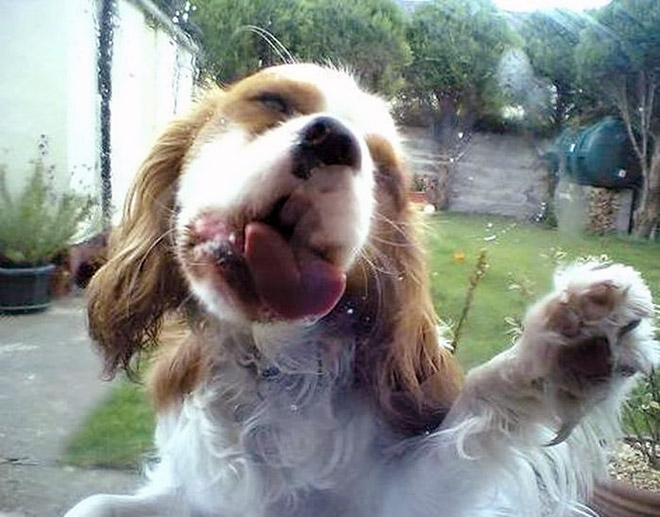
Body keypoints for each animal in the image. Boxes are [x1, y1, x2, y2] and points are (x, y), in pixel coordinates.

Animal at [64, 64, 656, 516]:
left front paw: (566, 345)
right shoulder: (195, 490)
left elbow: (485, 399)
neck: (268, 364)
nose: (333, 139)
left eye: (385, 174)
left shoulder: (394, 492)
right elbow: (90, 504)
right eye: (271, 100)